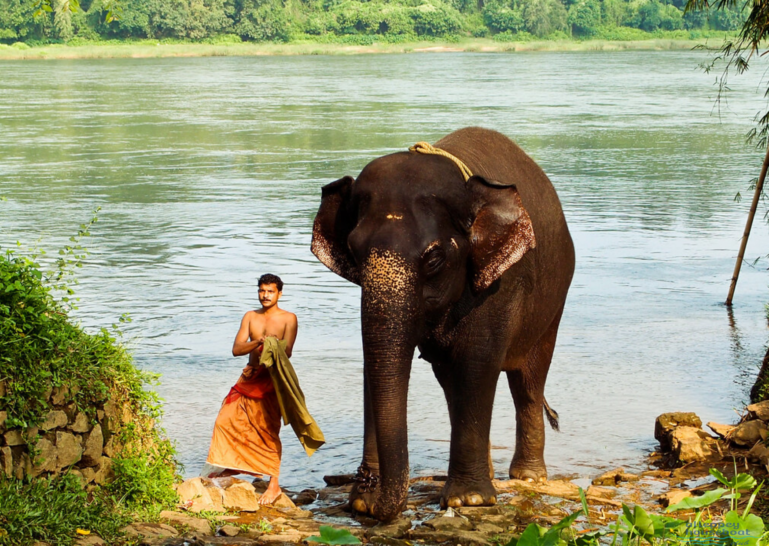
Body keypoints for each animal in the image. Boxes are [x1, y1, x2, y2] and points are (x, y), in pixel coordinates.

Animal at [308, 127, 572, 524]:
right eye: (354, 251)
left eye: (433, 259)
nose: (368, 484)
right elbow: (378, 364)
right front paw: (363, 503)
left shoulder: (498, 285)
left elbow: (477, 363)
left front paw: (469, 501)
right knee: (451, 383)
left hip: (553, 303)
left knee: (528, 380)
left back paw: (527, 477)